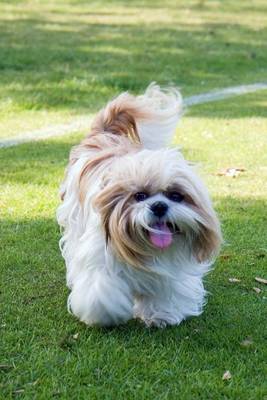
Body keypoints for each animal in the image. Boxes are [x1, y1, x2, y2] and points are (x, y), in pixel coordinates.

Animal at [57, 83, 223, 326]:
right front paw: (107, 315)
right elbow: (102, 293)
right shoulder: (101, 261)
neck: (146, 246)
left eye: (175, 196)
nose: (159, 206)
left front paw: (160, 315)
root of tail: (104, 135)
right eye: (139, 196)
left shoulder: (170, 273)